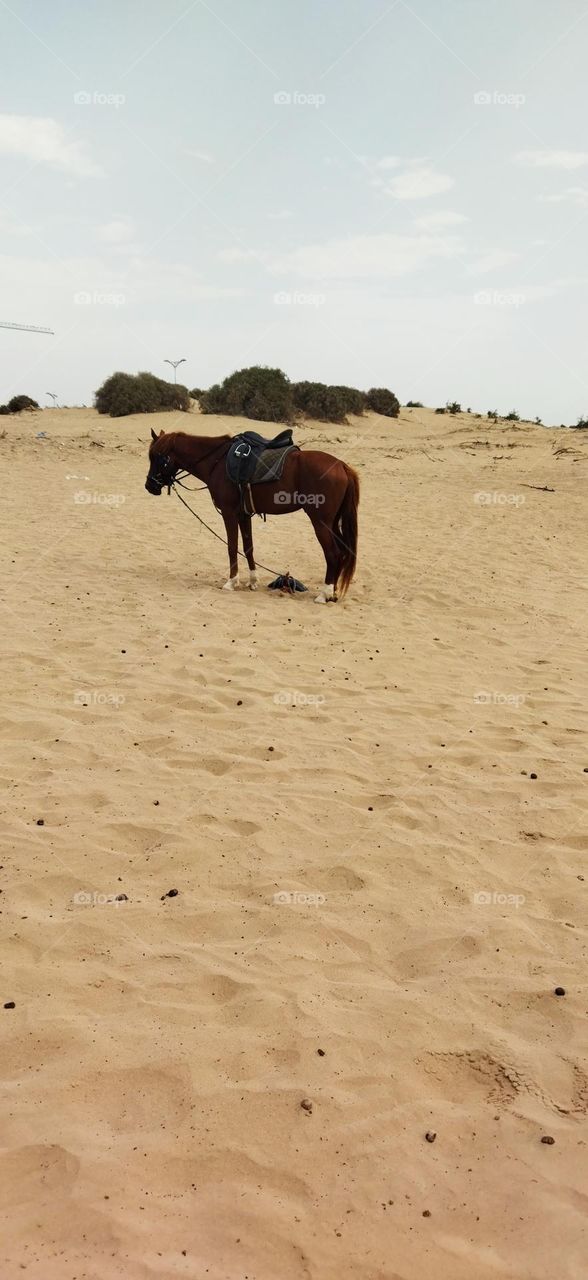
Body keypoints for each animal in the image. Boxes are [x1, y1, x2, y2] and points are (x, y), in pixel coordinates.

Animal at [145, 428, 359, 603]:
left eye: (157, 457)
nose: (150, 486)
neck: (217, 461)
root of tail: (341, 466)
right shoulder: (243, 515)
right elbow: (248, 547)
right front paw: (253, 581)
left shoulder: (229, 514)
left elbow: (232, 547)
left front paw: (231, 582)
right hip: (333, 523)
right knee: (342, 552)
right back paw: (333, 593)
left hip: (321, 523)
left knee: (333, 554)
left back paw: (324, 594)